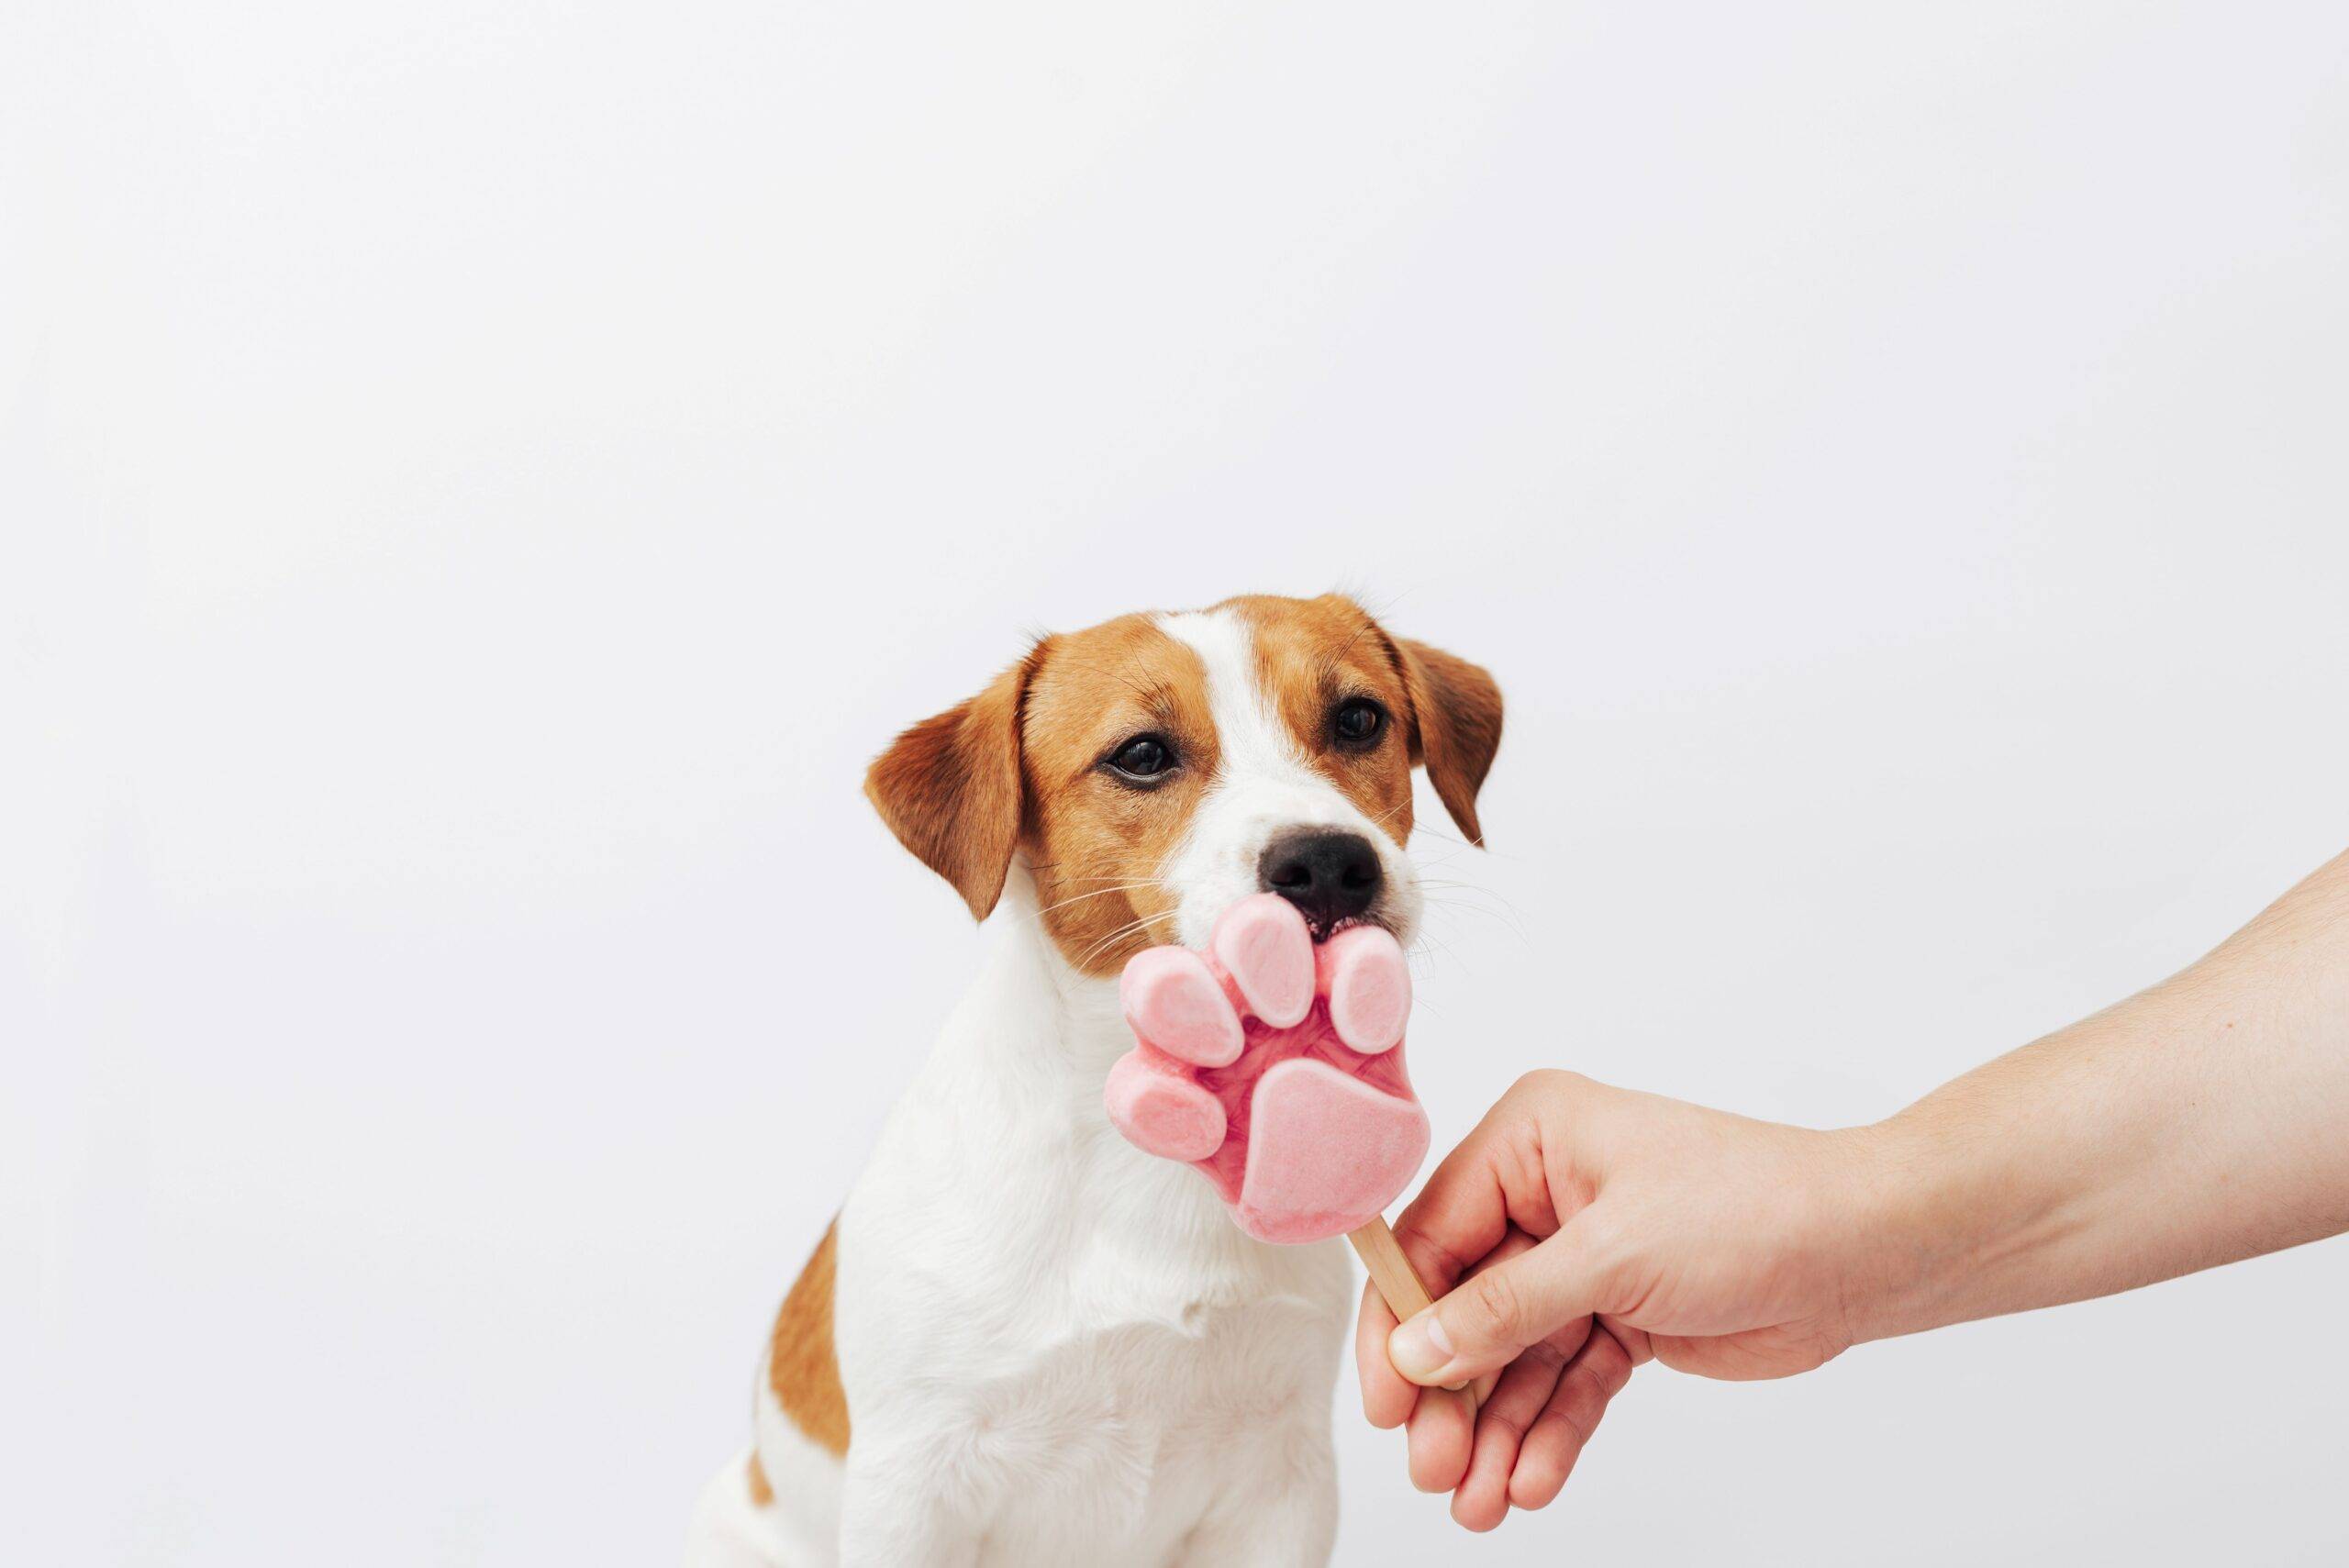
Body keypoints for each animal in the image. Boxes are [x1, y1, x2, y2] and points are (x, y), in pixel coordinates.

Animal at [685, 594, 1503, 1558]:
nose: (1331, 863)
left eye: (1359, 719)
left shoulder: (1283, 1482)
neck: (1143, 1162)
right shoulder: (912, 1486)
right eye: (1142, 754)